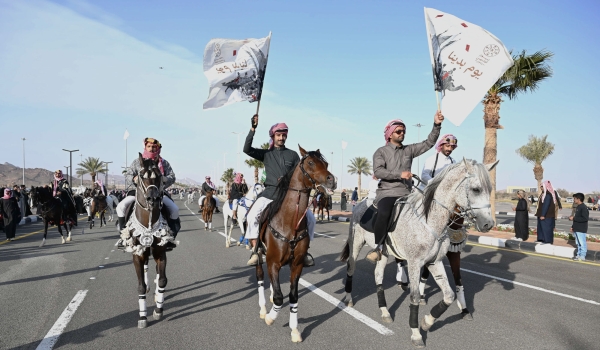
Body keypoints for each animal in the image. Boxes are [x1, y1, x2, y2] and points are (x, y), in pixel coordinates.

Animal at [254, 146, 338, 344]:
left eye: (326, 163)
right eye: (311, 162)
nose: (332, 180)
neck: (289, 222)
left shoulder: (297, 265)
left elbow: (293, 296)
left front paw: (294, 329)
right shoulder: (273, 262)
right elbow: (279, 297)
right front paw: (270, 317)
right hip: (259, 254)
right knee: (260, 276)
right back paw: (263, 308)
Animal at [340, 159, 494, 348]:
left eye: (490, 189)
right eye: (476, 189)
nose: (488, 224)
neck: (430, 220)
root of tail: (359, 205)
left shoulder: (435, 262)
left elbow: (449, 295)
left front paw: (427, 322)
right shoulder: (414, 263)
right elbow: (414, 297)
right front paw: (415, 333)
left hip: (384, 252)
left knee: (378, 275)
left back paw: (385, 311)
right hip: (356, 244)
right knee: (351, 268)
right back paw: (348, 298)